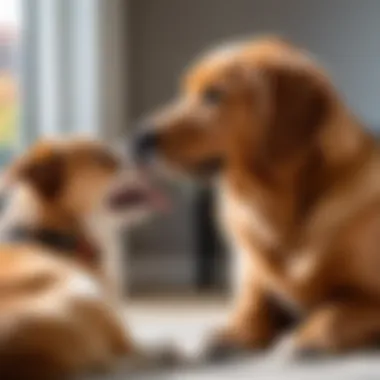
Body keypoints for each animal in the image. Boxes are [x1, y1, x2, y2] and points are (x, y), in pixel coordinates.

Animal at [134, 37, 380, 358]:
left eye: (214, 95)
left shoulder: (369, 298)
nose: (137, 140)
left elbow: (338, 311)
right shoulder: (254, 278)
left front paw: (309, 336)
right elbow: (251, 308)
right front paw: (234, 333)